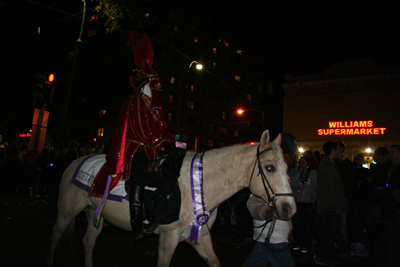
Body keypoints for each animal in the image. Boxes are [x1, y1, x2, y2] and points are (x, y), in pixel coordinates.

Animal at [47, 131, 296, 266]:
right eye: (270, 167)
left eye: (287, 168)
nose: (289, 209)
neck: (199, 185)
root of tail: (75, 162)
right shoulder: (169, 238)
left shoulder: (201, 237)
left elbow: (214, 262)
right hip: (66, 212)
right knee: (56, 235)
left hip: (94, 214)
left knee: (88, 242)